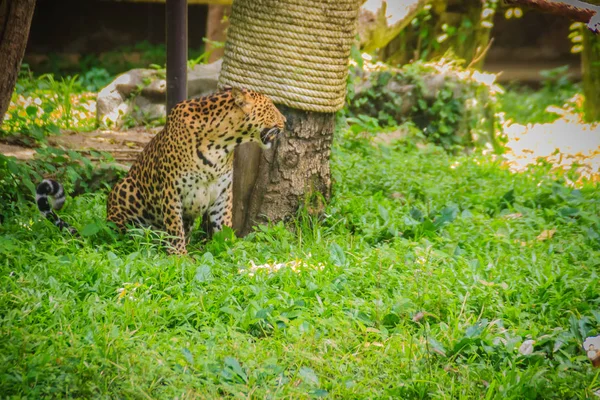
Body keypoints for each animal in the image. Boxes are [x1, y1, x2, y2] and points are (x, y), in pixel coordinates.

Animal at [37, 87, 286, 255]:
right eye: (271, 108)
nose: (284, 120)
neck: (223, 144)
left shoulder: (222, 193)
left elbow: (223, 225)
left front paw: (229, 252)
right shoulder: (171, 189)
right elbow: (175, 228)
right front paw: (180, 257)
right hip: (125, 189)